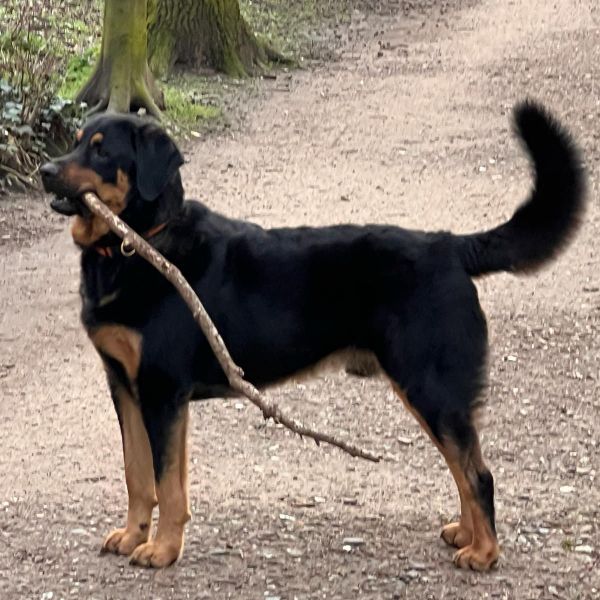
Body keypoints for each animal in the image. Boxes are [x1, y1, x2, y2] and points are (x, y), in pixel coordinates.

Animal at [39, 101, 584, 568]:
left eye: (102, 151)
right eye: (78, 141)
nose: (45, 170)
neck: (135, 245)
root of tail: (450, 247)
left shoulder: (162, 393)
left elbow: (168, 484)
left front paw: (162, 550)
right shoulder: (125, 387)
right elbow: (139, 475)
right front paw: (133, 535)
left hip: (431, 386)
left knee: (478, 473)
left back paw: (484, 553)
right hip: (431, 392)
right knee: (464, 469)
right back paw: (467, 535)